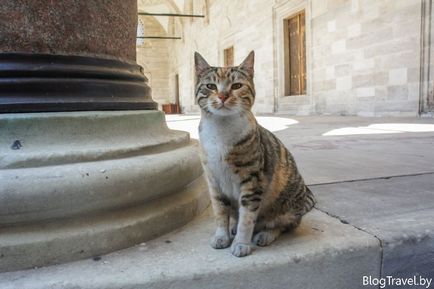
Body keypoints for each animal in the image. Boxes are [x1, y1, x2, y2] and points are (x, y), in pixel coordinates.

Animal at [195, 50, 314, 255]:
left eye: (236, 86)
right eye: (210, 86)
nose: (223, 95)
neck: (221, 131)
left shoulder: (252, 181)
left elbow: (247, 218)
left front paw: (241, 244)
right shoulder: (213, 180)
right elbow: (220, 211)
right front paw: (221, 236)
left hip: (287, 206)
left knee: (284, 225)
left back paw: (265, 234)